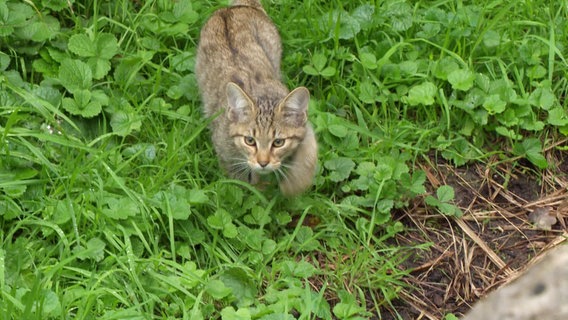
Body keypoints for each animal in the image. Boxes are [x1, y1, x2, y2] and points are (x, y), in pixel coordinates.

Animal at [195, 0, 318, 196]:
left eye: (278, 142)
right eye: (250, 141)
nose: (263, 163)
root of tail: (234, 8)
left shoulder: (304, 128)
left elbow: (309, 151)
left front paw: (296, 184)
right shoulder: (227, 156)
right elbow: (245, 184)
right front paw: (262, 191)